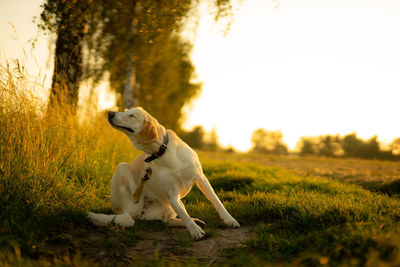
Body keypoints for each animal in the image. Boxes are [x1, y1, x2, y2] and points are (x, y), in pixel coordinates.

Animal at [89, 107, 239, 241]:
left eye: (131, 115)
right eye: (125, 111)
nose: (109, 112)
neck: (162, 150)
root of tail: (138, 214)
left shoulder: (200, 178)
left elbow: (215, 200)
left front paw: (229, 220)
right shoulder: (172, 193)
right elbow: (183, 214)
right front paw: (194, 231)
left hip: (168, 205)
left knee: (168, 219)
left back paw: (194, 221)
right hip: (122, 169)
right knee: (135, 200)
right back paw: (144, 176)